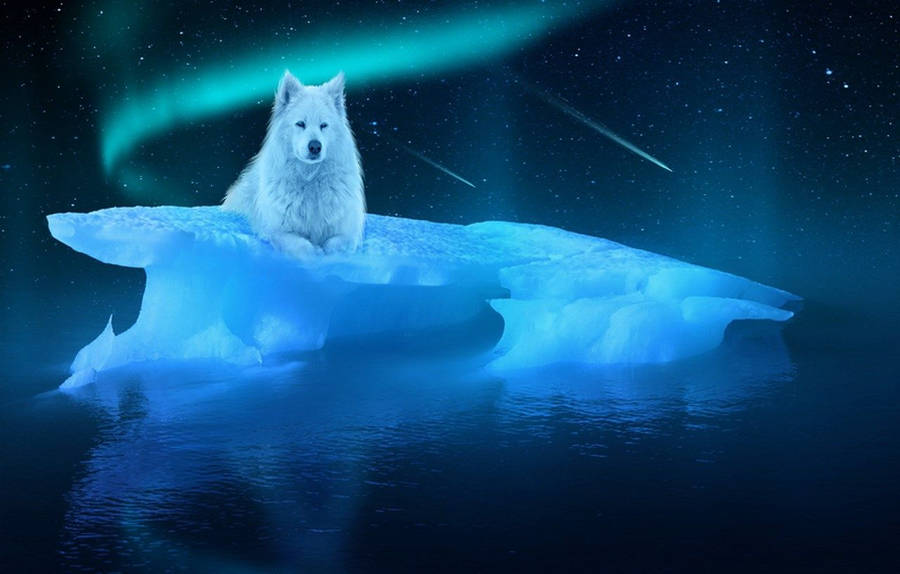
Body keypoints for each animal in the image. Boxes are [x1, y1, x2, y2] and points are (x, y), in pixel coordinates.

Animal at [223, 71, 365, 256]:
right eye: (300, 124)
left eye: (324, 125)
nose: (315, 146)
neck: (310, 180)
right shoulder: (278, 231)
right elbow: (303, 246)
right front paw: (315, 253)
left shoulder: (347, 232)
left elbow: (336, 243)